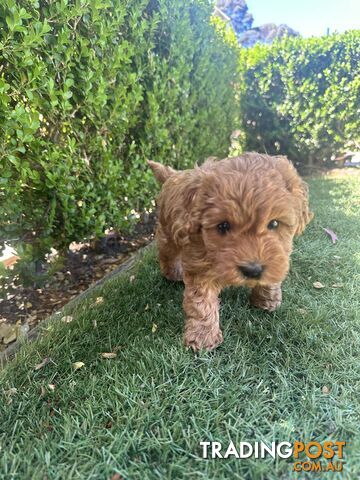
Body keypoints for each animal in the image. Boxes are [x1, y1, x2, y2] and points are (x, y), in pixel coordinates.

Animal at [148, 154, 314, 352]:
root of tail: (175, 175)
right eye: (223, 226)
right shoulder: (199, 263)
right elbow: (201, 302)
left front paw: (267, 300)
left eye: (274, 223)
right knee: (167, 253)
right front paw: (203, 336)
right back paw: (173, 274)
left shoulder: (279, 255)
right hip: (168, 233)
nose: (252, 270)